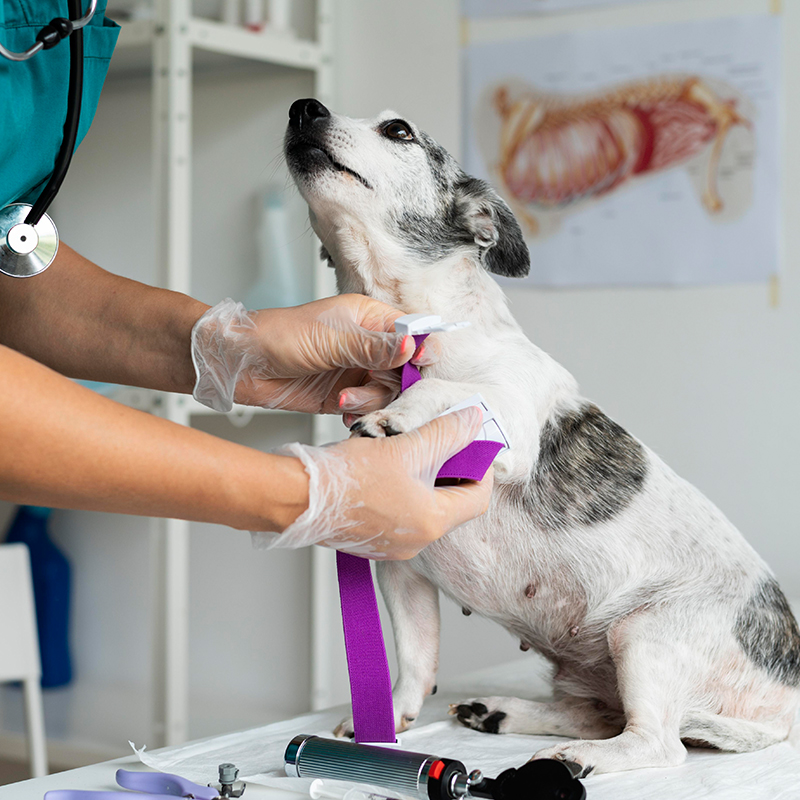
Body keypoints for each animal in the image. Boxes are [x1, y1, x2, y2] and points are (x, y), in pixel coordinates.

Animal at [282, 98, 800, 776]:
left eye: (398, 131)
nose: (303, 107)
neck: (412, 330)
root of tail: (786, 705)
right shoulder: (404, 568)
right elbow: (415, 662)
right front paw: (390, 721)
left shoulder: (510, 419)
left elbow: (451, 392)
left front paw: (399, 413)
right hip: (599, 668)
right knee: (601, 714)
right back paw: (501, 713)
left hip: (644, 632)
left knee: (658, 743)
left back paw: (576, 758)